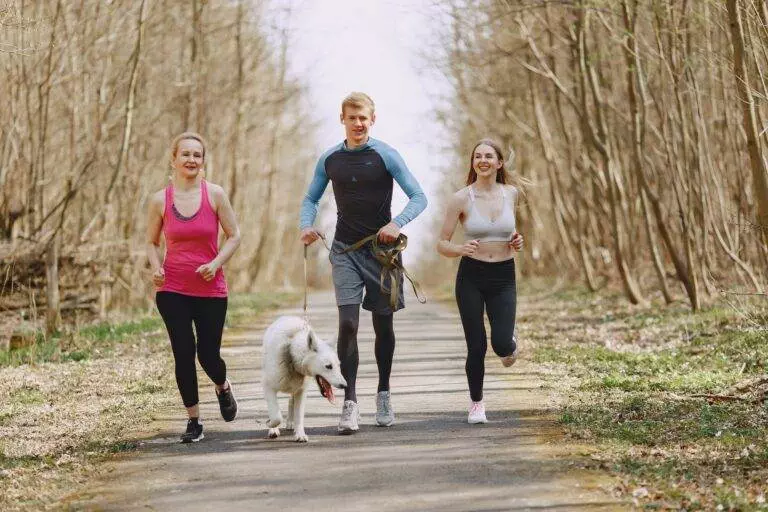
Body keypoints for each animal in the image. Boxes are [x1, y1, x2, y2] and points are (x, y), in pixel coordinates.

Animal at [264, 314, 348, 442]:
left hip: (294, 388)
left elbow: (299, 415)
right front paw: (271, 425)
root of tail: (288, 317)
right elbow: (276, 415)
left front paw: (300, 434)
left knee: (291, 401)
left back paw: (291, 422)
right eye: (328, 366)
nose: (345, 385)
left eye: (339, 365)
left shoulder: (301, 391)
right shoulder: (269, 387)